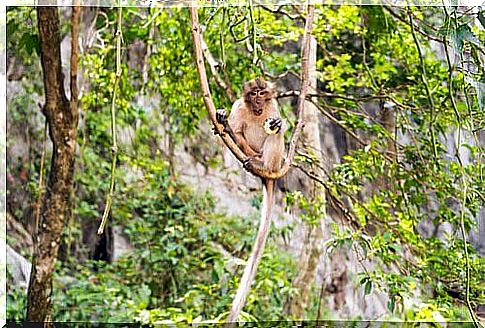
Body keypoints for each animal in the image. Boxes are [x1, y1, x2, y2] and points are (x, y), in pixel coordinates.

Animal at [215, 77, 284, 322]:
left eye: (262, 93)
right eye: (253, 93)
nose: (258, 101)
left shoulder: (273, 107)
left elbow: (277, 126)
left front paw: (278, 124)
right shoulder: (238, 106)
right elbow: (233, 127)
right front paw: (225, 124)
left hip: (275, 160)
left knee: (276, 136)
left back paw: (263, 165)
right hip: (248, 150)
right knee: (239, 138)